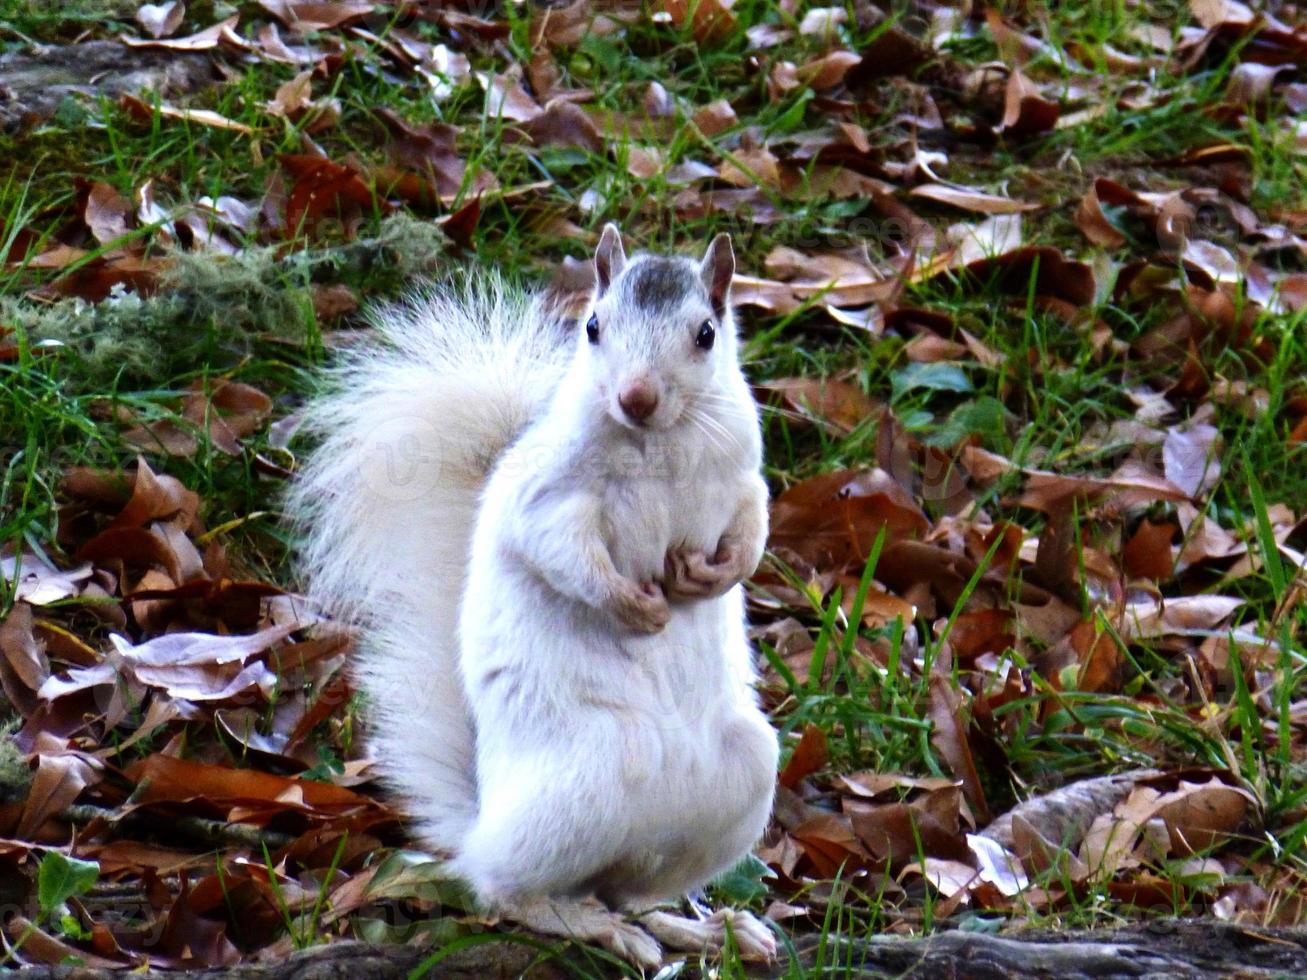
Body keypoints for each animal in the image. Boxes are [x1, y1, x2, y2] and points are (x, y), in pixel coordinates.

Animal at [286, 224, 773, 966]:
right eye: (593, 326)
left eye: (706, 333)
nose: (635, 396)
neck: (658, 442)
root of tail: (484, 820)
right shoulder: (547, 498)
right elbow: (561, 551)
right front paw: (633, 605)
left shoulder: (744, 475)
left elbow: (753, 525)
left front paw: (719, 576)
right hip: (585, 783)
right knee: (511, 893)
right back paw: (589, 925)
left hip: (739, 779)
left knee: (626, 890)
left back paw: (701, 929)